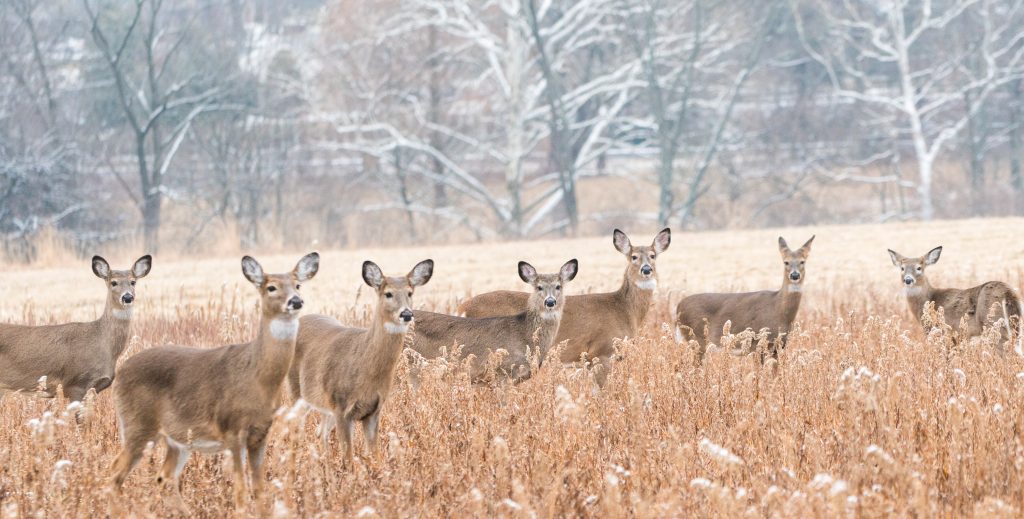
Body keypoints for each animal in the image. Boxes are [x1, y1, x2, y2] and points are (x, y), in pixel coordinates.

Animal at [108, 253, 319, 514]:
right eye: (271, 287)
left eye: (298, 285)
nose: (296, 301)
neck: (257, 377)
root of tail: (120, 372)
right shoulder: (232, 430)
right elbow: (240, 491)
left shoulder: (260, 434)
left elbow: (259, 489)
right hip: (138, 425)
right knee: (115, 473)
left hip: (177, 439)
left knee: (164, 477)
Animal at [289, 259, 433, 463]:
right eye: (388, 293)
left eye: (410, 293)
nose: (406, 314)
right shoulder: (341, 407)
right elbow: (348, 459)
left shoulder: (373, 410)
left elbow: (375, 455)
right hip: (297, 391)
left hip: (324, 403)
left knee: (320, 432)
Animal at [458, 229, 670, 386]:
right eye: (633, 257)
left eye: (653, 256)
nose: (646, 269)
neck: (624, 310)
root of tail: (462, 306)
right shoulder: (601, 351)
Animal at [674, 236, 815, 360]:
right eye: (786, 262)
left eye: (802, 261)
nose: (795, 275)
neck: (778, 310)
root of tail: (678, 307)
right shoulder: (758, 344)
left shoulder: (778, 347)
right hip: (696, 339)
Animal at [887, 246, 1021, 349]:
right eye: (902, 268)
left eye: (919, 268)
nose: (908, 280)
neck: (929, 299)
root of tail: (1009, 294)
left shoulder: (940, 332)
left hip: (994, 325)